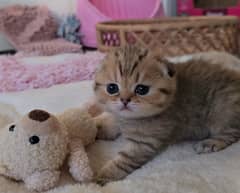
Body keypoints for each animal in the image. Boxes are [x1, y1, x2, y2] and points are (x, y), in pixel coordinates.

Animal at [94, 46, 240, 185]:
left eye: (141, 89)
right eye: (112, 88)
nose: (124, 100)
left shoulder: (145, 142)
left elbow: (125, 159)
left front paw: (104, 175)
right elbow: (113, 121)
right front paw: (100, 129)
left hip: (221, 112)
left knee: (232, 132)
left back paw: (211, 143)